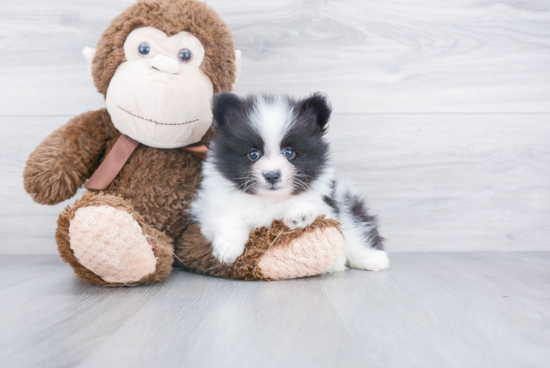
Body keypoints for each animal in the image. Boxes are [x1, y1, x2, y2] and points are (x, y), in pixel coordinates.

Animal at [192, 92, 390, 272]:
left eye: (289, 153)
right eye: (253, 154)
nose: (272, 175)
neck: (269, 199)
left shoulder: (327, 201)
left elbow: (311, 204)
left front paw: (299, 214)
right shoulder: (213, 205)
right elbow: (228, 220)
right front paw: (227, 249)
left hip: (346, 202)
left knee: (356, 230)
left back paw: (374, 260)